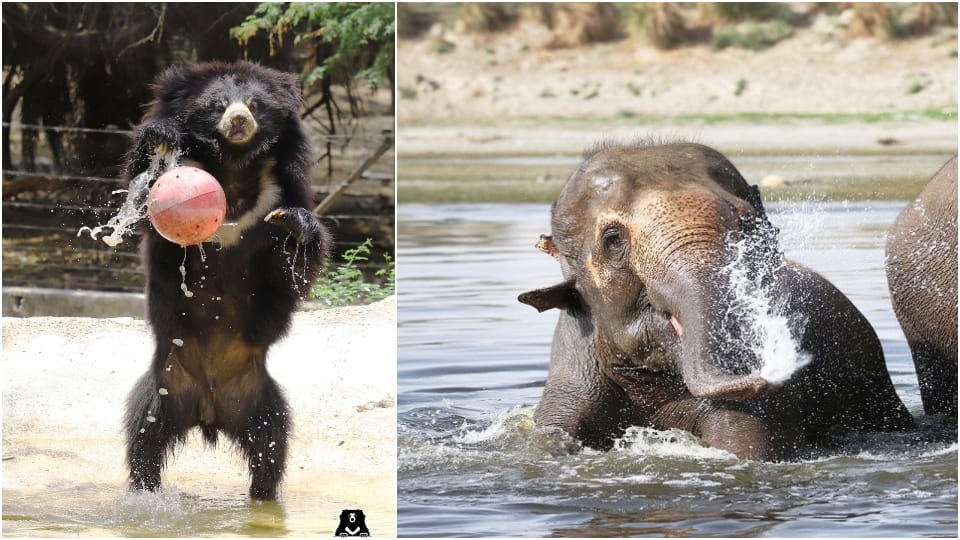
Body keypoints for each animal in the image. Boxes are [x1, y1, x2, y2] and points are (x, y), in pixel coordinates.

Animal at [122, 61, 331, 500]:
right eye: (217, 105)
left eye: (254, 104)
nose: (238, 120)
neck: (235, 168)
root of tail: (209, 407)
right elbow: (141, 198)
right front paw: (160, 137)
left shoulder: (278, 189)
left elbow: (290, 274)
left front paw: (294, 225)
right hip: (166, 386)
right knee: (145, 436)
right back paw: (144, 490)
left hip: (257, 398)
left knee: (271, 446)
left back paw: (262, 495)